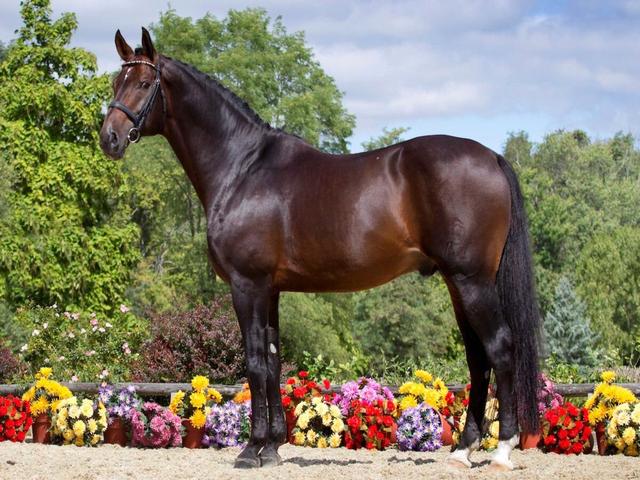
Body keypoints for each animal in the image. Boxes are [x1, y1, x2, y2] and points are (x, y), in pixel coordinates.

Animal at [100, 28, 540, 470]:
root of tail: (492, 156)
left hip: (472, 281)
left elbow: (255, 362)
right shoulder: (270, 289)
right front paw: (272, 447)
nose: (109, 138)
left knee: (501, 348)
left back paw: (502, 449)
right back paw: (464, 449)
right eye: (116, 82)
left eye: (144, 83)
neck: (242, 168)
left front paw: (250, 449)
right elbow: (273, 361)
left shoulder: (247, 285)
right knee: (478, 358)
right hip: (458, 284)